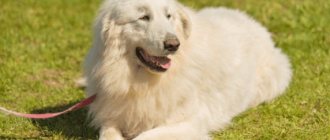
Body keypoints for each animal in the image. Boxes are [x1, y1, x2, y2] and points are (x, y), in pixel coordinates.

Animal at [82, 0, 292, 139]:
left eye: (169, 16)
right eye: (143, 17)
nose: (173, 45)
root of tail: (250, 20)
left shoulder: (188, 122)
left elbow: (144, 137)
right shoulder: (111, 118)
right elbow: (108, 134)